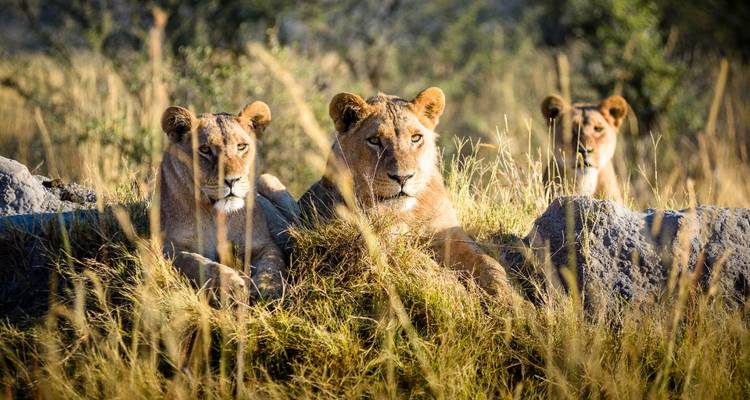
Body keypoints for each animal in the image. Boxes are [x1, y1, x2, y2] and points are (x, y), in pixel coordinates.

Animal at [159, 101, 289, 299]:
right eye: (205, 150)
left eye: (241, 146)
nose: (232, 180)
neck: (218, 215)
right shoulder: (169, 247)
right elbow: (198, 264)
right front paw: (234, 286)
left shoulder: (263, 244)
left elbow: (273, 263)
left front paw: (268, 287)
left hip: (267, 178)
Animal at [299, 87, 513, 297]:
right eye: (374, 140)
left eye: (416, 138)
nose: (402, 178)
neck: (407, 213)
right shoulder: (379, 240)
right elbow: (425, 264)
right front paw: (456, 291)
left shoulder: (448, 234)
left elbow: (488, 263)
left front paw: (509, 299)